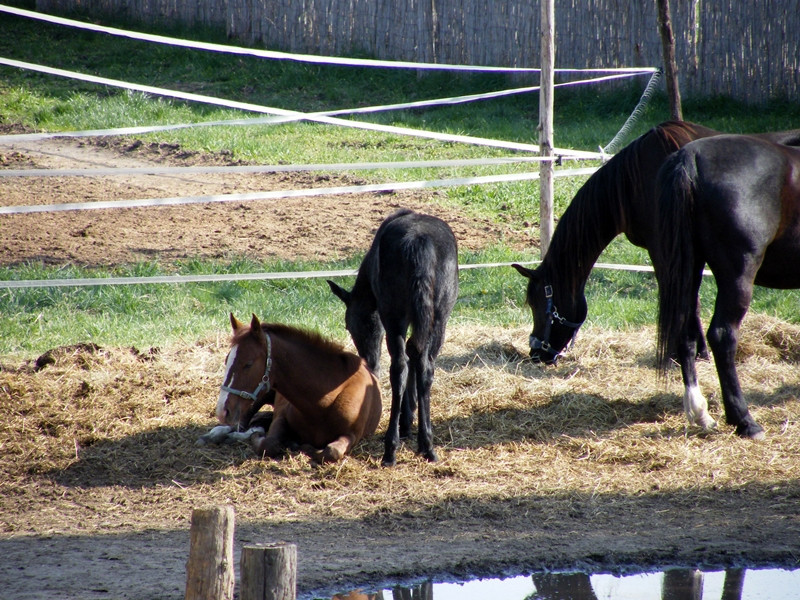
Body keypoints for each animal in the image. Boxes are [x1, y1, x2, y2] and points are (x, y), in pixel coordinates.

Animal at [216, 314, 382, 464]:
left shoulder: (351, 435)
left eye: (248, 364)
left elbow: (331, 451)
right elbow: (268, 444)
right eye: (226, 360)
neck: (323, 403)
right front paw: (259, 435)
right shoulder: (280, 417)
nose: (222, 411)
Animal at [328, 209, 460, 466]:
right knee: (422, 365)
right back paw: (423, 445)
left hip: (396, 317)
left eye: (349, 326)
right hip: (436, 318)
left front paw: (407, 420)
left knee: (400, 366)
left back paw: (394, 447)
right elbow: (415, 356)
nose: (370, 362)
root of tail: (420, 244)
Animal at [656, 137, 800, 440]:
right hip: (738, 275)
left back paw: (700, 412)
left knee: (686, 333)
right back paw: (744, 421)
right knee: (722, 336)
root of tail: (690, 157)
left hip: (689, 268)